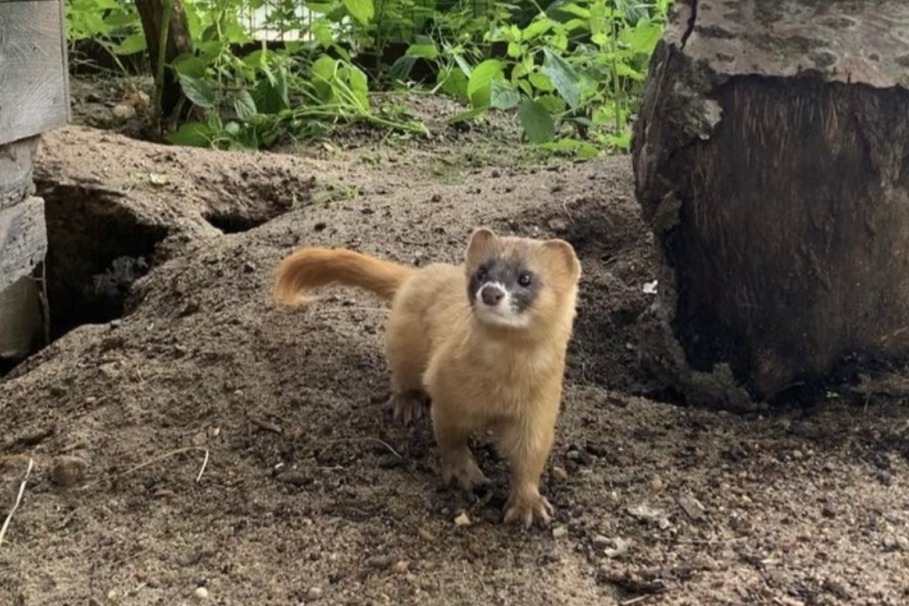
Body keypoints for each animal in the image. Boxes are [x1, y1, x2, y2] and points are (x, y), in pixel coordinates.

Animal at [272, 228, 580, 528]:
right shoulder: (446, 389)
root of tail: (420, 273)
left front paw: (529, 506)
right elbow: (450, 438)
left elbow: (531, 458)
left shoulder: (540, 408)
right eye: (481, 271)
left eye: (525, 277)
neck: (501, 387)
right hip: (403, 345)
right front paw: (464, 473)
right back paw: (407, 403)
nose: (491, 292)